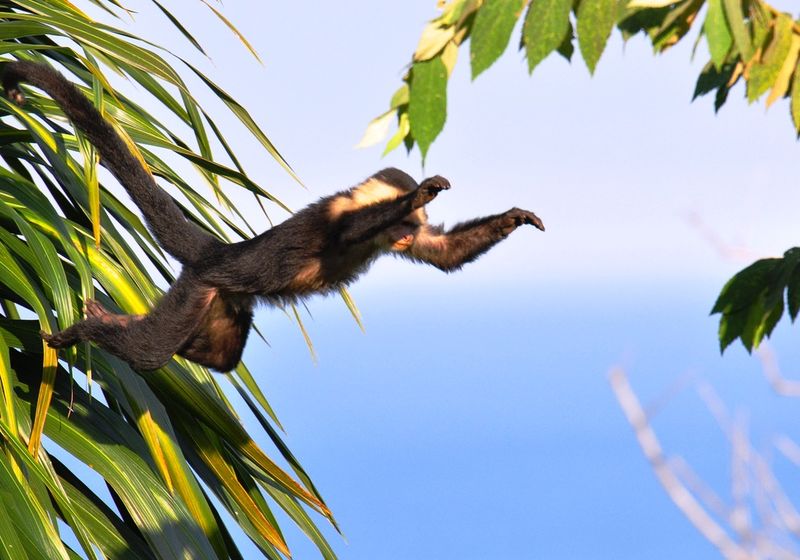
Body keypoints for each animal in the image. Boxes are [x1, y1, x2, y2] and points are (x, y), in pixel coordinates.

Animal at [2, 61, 545, 372]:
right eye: (403, 226)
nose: (407, 238)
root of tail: (221, 251)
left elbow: (444, 252)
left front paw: (514, 218)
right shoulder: (345, 215)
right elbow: (353, 227)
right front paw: (417, 194)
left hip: (223, 301)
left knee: (220, 357)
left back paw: (121, 323)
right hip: (199, 288)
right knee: (151, 354)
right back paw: (92, 332)